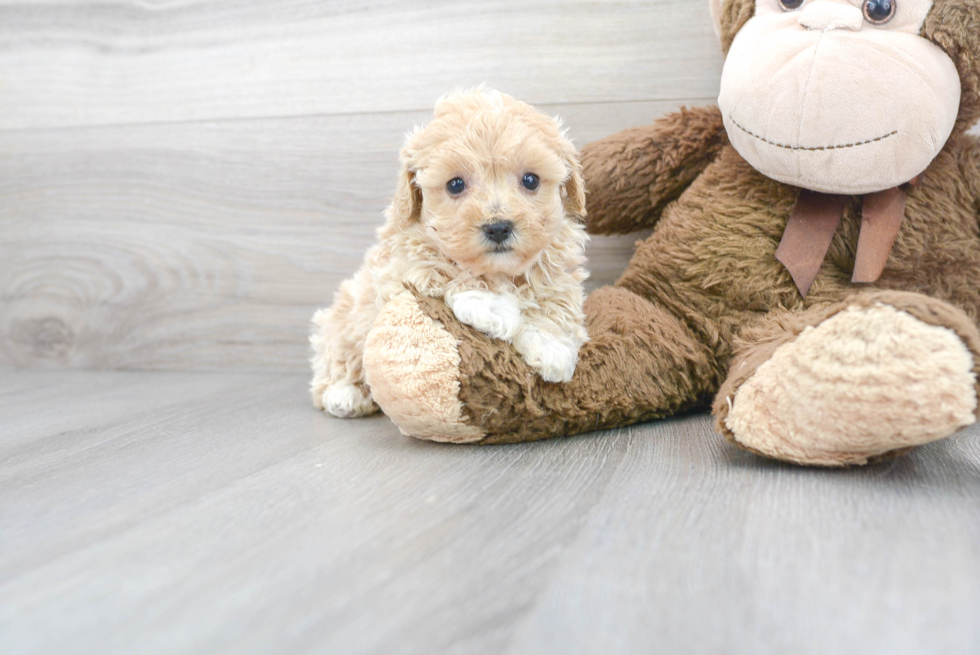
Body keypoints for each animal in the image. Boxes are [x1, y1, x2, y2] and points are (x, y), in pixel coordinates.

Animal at [312, 87, 588, 418]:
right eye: (455, 185)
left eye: (531, 180)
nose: (498, 227)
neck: (498, 270)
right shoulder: (395, 266)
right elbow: (441, 271)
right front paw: (491, 306)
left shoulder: (556, 265)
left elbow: (556, 301)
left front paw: (551, 346)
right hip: (344, 322)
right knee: (335, 360)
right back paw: (344, 395)